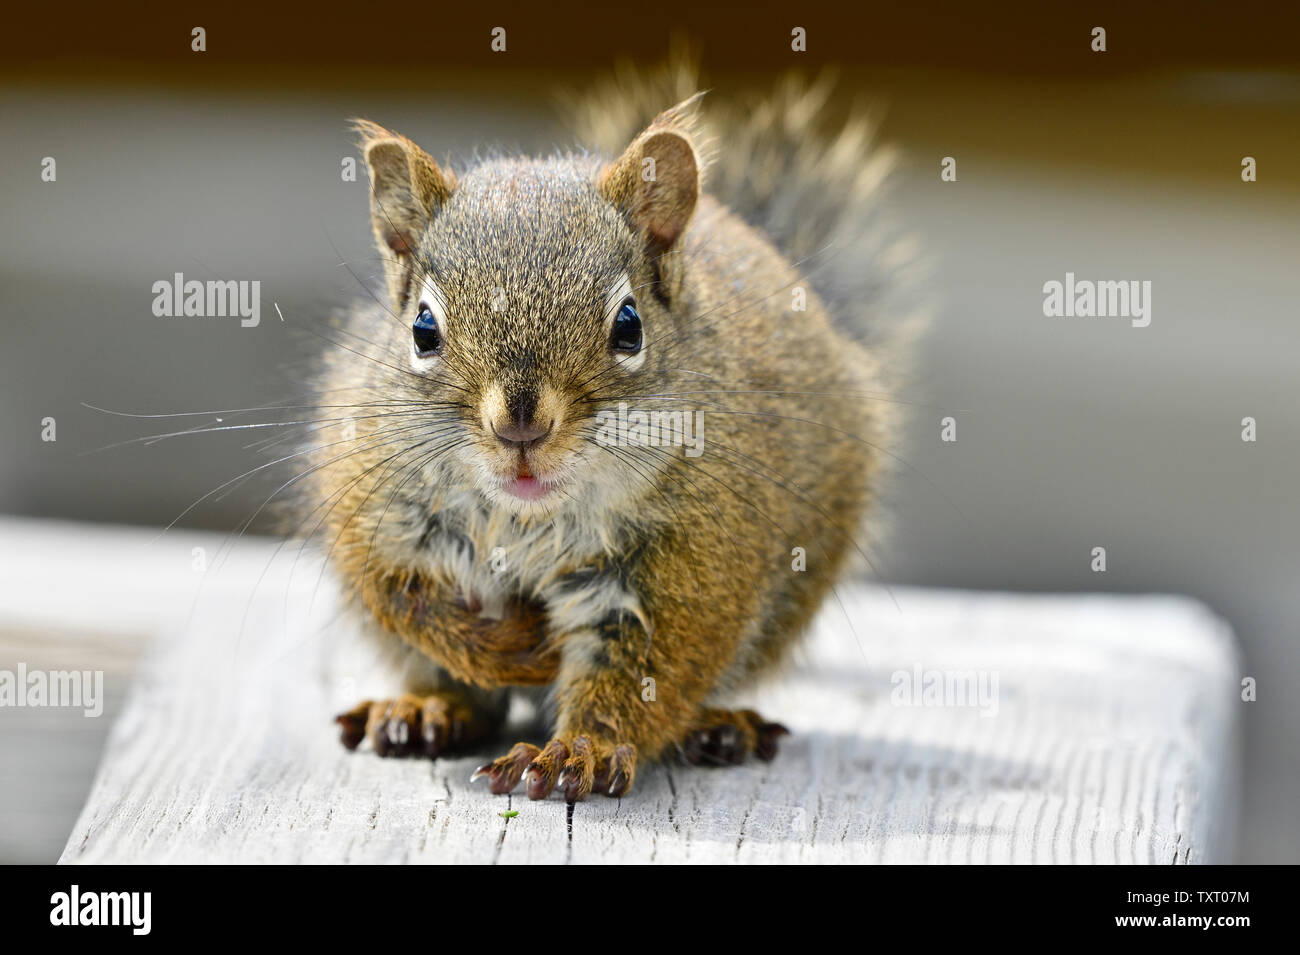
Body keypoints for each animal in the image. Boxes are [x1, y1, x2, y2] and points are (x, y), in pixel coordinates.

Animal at [315, 63, 909, 805]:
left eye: (629, 326)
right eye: (423, 330)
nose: (520, 425)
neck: (528, 518)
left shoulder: (690, 559)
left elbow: (648, 669)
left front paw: (583, 749)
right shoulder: (374, 503)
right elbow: (403, 597)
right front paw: (512, 647)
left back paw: (718, 726)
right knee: (448, 683)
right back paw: (425, 710)